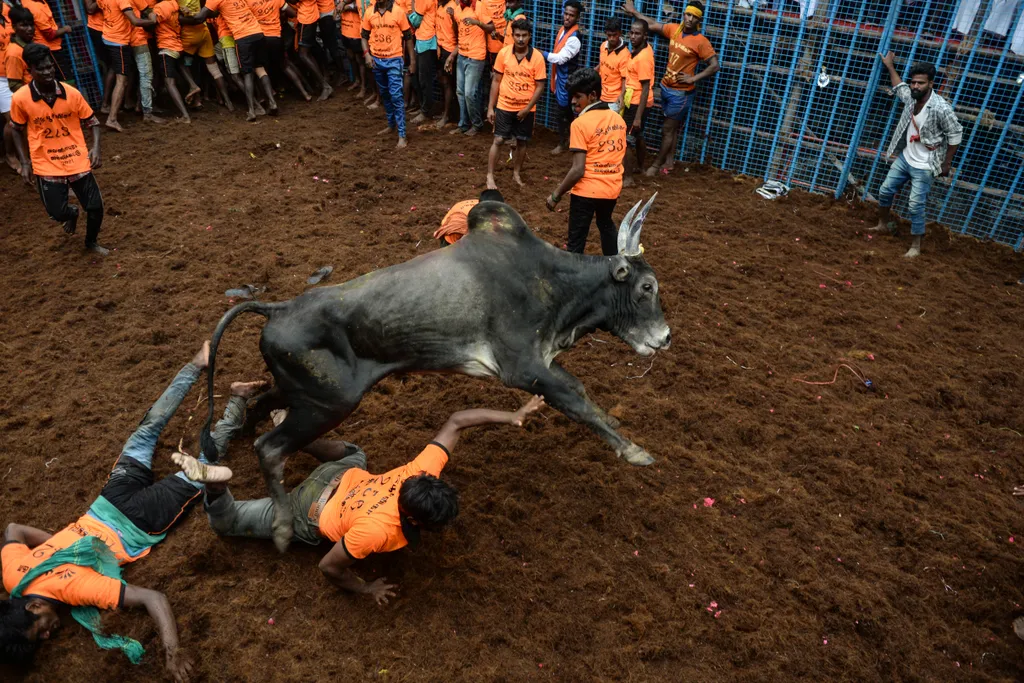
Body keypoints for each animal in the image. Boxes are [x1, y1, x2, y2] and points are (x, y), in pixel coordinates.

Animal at [199, 193, 671, 548]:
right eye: (646, 287)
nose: (665, 337)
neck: (553, 283)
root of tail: (278, 309)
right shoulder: (522, 367)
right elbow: (577, 399)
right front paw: (635, 451)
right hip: (328, 404)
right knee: (269, 448)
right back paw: (279, 529)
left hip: (303, 393)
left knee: (262, 404)